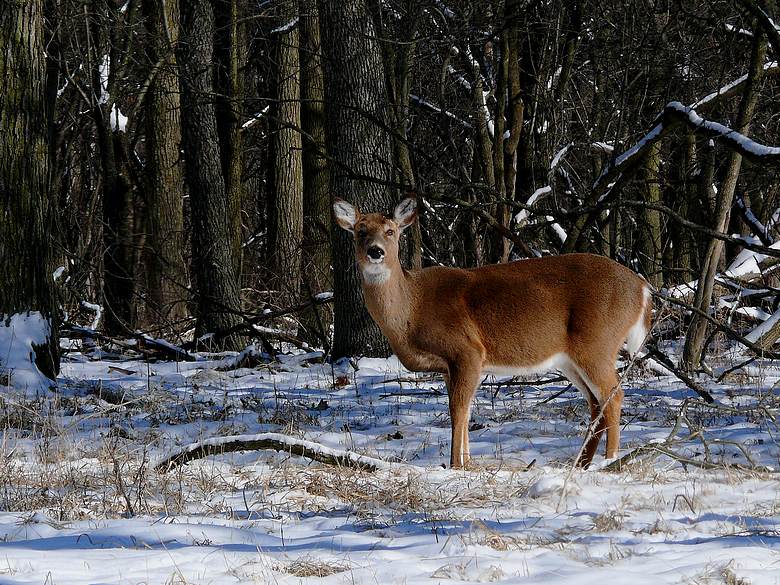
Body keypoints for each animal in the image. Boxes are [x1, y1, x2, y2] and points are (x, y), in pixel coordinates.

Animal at [333, 196, 652, 469]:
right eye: (360, 231)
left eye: (390, 231)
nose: (375, 251)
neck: (412, 308)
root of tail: (642, 288)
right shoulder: (450, 366)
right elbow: (465, 409)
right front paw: (467, 463)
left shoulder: (467, 350)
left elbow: (458, 409)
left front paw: (456, 465)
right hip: (570, 358)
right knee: (597, 403)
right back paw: (582, 463)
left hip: (598, 341)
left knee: (614, 395)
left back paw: (609, 461)